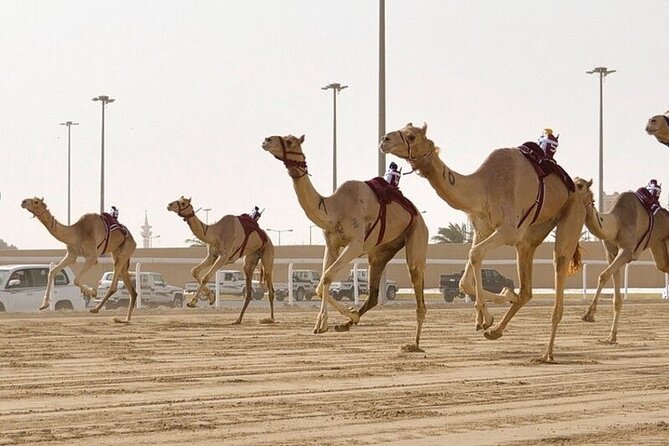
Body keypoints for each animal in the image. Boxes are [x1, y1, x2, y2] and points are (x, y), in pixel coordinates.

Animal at [262, 134, 429, 351]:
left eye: (290, 141)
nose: (266, 140)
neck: (334, 209)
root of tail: (417, 213)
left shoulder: (355, 245)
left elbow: (326, 277)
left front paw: (329, 321)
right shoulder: (332, 244)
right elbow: (322, 282)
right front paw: (328, 322)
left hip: (417, 234)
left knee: (418, 287)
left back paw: (414, 343)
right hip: (381, 251)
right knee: (373, 293)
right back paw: (346, 323)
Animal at [379, 123, 586, 362]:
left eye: (411, 136)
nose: (384, 140)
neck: (484, 187)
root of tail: (575, 187)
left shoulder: (509, 230)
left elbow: (475, 255)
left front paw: (485, 317)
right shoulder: (481, 229)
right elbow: (464, 277)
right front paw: (498, 306)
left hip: (571, 214)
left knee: (560, 261)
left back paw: (546, 354)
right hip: (533, 234)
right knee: (526, 289)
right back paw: (497, 330)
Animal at [574, 178, 669, 343]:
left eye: (580, 185)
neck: (615, 223)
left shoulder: (626, 251)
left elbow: (603, 275)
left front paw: (588, 314)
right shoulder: (611, 254)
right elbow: (616, 298)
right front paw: (611, 336)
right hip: (659, 246)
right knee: (664, 266)